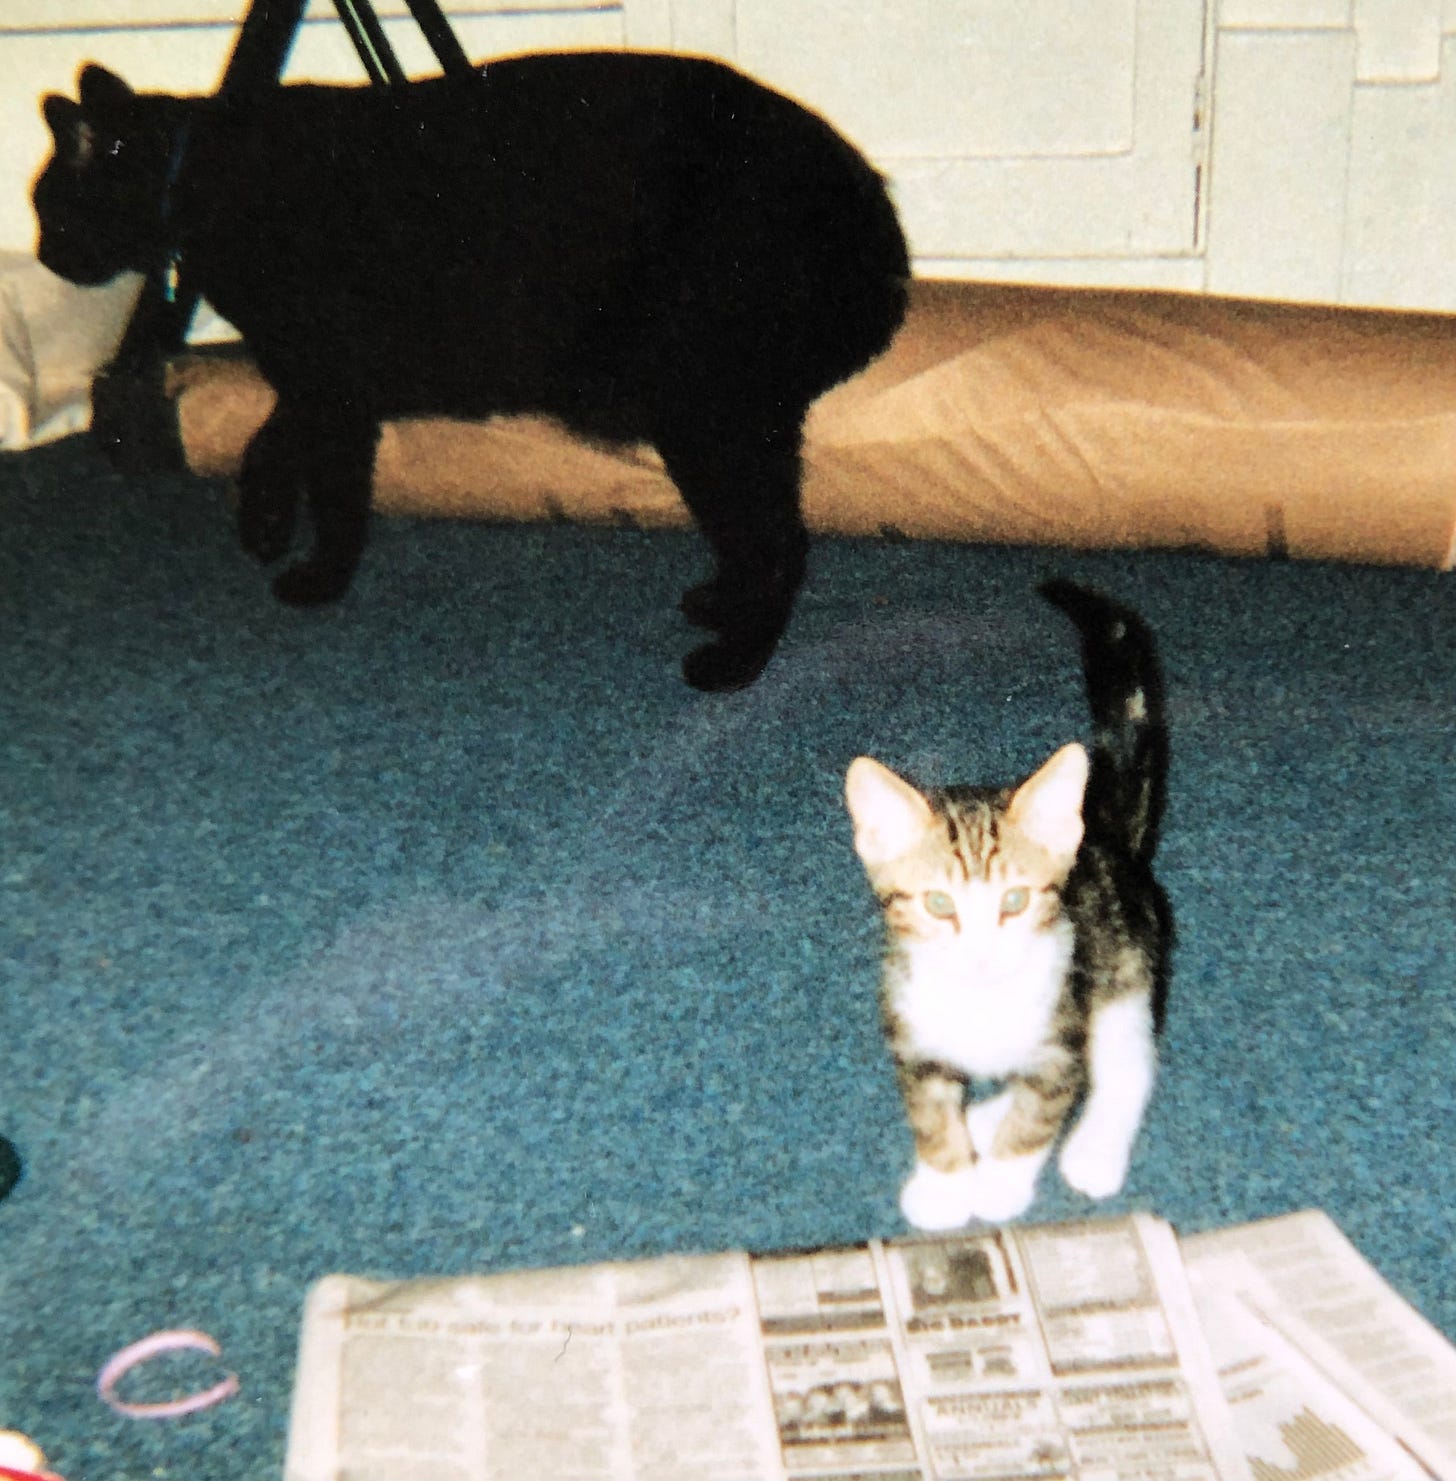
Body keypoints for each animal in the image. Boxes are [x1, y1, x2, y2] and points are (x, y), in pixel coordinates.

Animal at [34, 52, 912, 687]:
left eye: (49, 209)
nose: (40, 254)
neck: (202, 177)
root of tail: (871, 211)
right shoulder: (321, 380)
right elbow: (266, 442)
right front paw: (263, 524)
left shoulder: (333, 389)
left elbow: (337, 497)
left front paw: (320, 575)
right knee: (762, 534)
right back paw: (720, 603)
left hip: (704, 409)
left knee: (778, 541)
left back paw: (734, 662)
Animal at [841, 577, 1173, 1226]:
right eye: (939, 905)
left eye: (1015, 899)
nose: (981, 955)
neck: (981, 1004)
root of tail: (1109, 838)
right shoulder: (914, 1040)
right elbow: (932, 1113)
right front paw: (945, 1181)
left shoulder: (1062, 1033)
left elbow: (1038, 1112)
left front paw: (999, 1183)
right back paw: (979, 1120)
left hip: (1122, 968)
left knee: (1125, 1062)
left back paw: (1093, 1150)